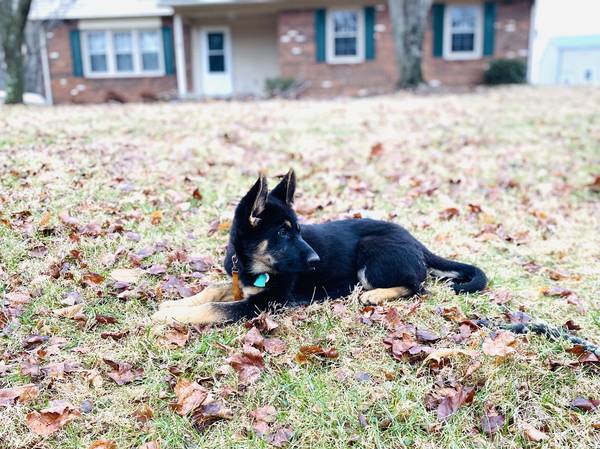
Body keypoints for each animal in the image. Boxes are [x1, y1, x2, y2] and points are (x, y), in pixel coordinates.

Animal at [151, 170, 488, 324]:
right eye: (283, 233)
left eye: (298, 231)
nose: (315, 260)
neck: (253, 263)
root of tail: (417, 242)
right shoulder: (241, 284)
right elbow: (210, 292)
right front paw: (174, 304)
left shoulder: (264, 303)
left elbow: (213, 308)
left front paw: (166, 317)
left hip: (372, 250)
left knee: (418, 286)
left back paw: (375, 295)